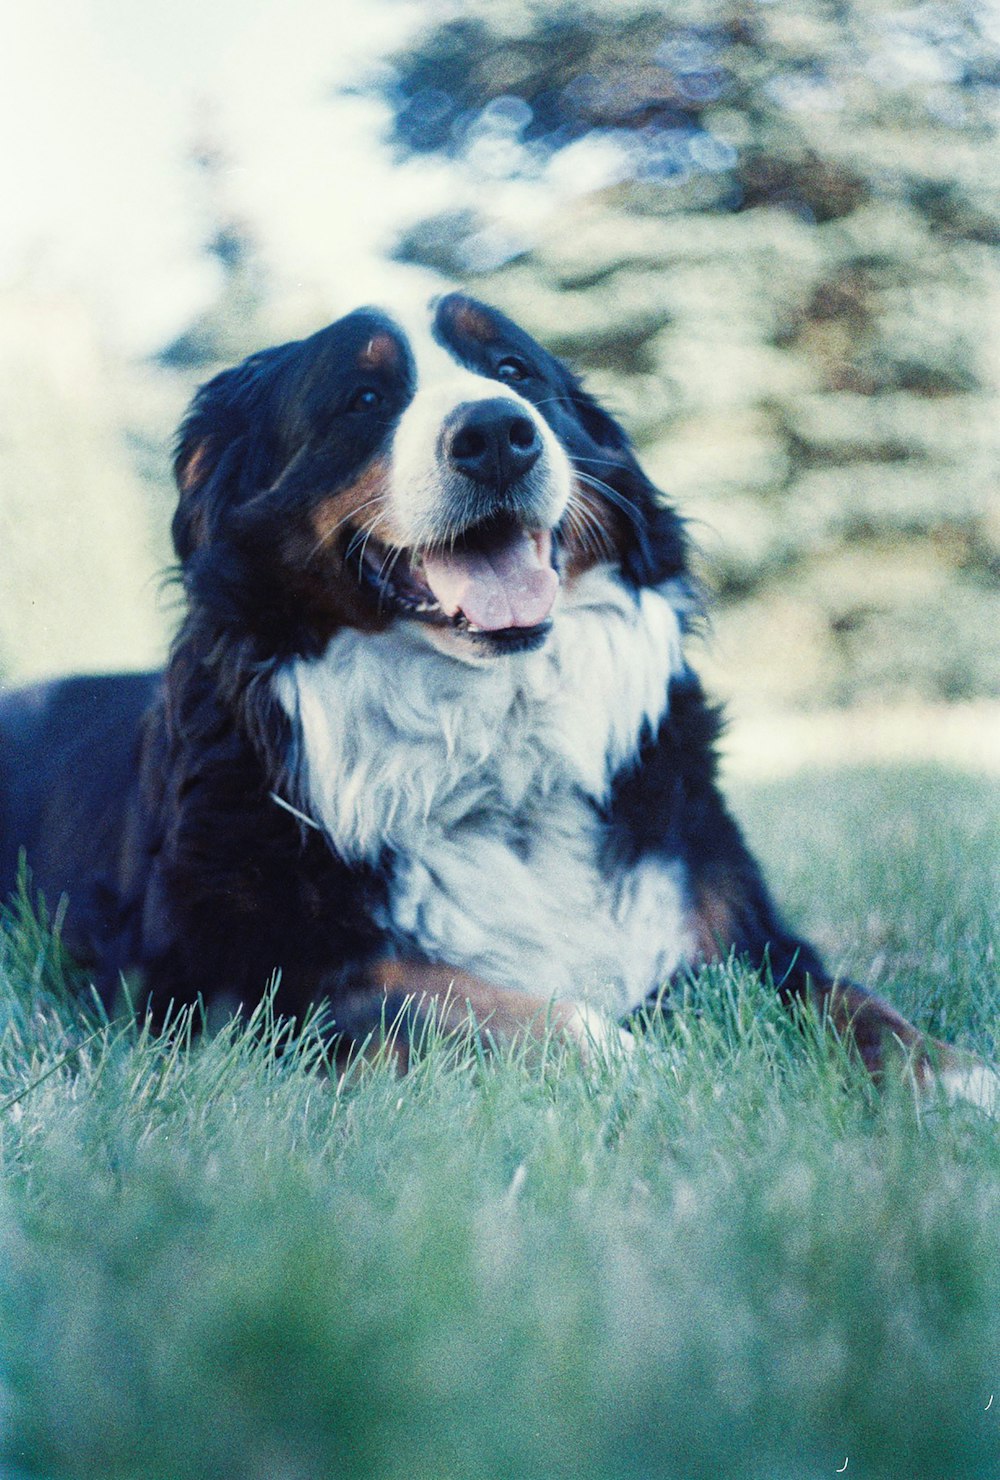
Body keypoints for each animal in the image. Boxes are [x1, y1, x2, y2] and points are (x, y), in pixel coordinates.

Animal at [0, 291, 994, 1101]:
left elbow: (854, 1002)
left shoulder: (741, 932)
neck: (493, 752)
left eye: (513, 370)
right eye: (364, 399)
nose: (495, 433)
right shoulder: (223, 982)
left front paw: (953, 1078)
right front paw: (642, 1063)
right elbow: (459, 1001)